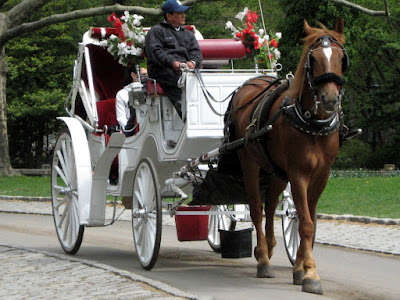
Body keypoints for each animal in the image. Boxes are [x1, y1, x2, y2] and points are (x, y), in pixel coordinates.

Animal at [230, 19, 348, 294]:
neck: (313, 124)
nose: (329, 99)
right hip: (250, 164)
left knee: (271, 206)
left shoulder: (321, 176)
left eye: (341, 57)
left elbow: (307, 220)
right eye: (313, 58)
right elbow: (305, 222)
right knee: (256, 209)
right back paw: (263, 259)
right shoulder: (298, 174)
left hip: (276, 172)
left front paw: (300, 268)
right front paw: (311, 274)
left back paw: (269, 247)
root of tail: (249, 84)